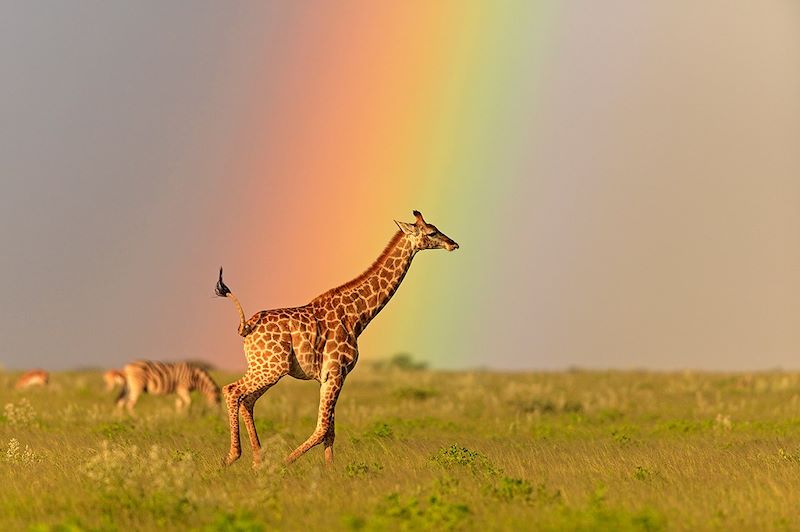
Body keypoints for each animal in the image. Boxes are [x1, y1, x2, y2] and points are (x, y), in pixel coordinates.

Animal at [216, 210, 460, 468]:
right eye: (432, 232)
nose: (453, 244)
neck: (358, 316)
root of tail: (246, 327)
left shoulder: (330, 376)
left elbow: (330, 430)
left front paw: (329, 471)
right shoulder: (336, 371)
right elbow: (323, 428)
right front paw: (284, 463)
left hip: (263, 366)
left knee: (247, 400)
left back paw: (257, 460)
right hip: (272, 367)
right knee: (232, 390)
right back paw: (233, 457)